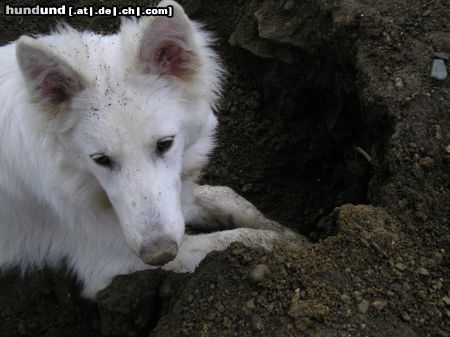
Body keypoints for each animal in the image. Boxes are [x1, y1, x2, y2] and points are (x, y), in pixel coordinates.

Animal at [0, 1, 306, 298]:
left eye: (165, 144)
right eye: (101, 159)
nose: (159, 254)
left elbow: (228, 198)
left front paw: (285, 232)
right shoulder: (109, 262)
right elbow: (233, 241)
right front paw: (290, 247)